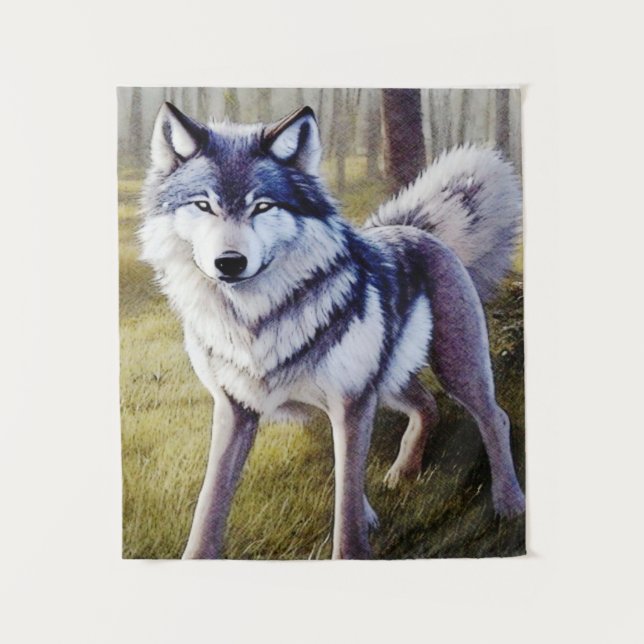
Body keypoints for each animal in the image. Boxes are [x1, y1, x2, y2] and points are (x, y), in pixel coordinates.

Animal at [139, 101, 526, 559]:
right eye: (203, 205)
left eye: (262, 207)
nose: (229, 263)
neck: (257, 321)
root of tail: (415, 228)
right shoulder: (236, 408)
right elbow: (210, 499)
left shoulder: (350, 402)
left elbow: (346, 498)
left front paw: (353, 548)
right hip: (389, 381)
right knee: (427, 406)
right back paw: (402, 474)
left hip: (455, 370)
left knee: (495, 418)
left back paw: (509, 503)